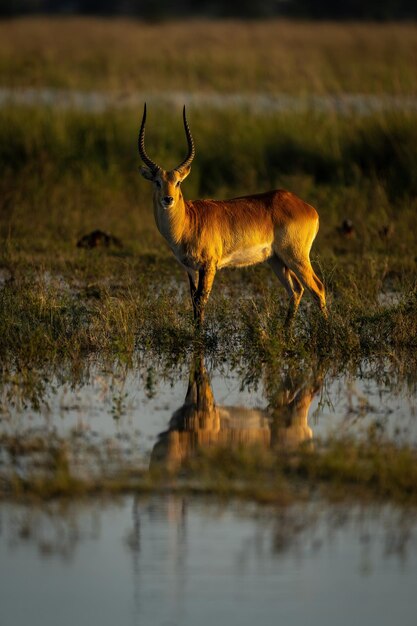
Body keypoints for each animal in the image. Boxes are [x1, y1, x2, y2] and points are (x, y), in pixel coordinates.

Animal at [138, 104, 326, 324]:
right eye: (157, 181)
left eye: (178, 182)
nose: (168, 199)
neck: (188, 222)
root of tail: (307, 207)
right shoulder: (190, 269)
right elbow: (193, 302)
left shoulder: (209, 266)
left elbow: (201, 301)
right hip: (277, 260)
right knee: (296, 289)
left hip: (295, 256)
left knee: (317, 288)